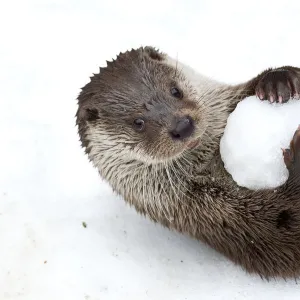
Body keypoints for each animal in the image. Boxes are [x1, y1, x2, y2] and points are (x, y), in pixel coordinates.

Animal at [75, 47, 300, 278]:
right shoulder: (219, 214)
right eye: (138, 123)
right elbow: (282, 235)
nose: (182, 126)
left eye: (175, 91)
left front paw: (277, 80)